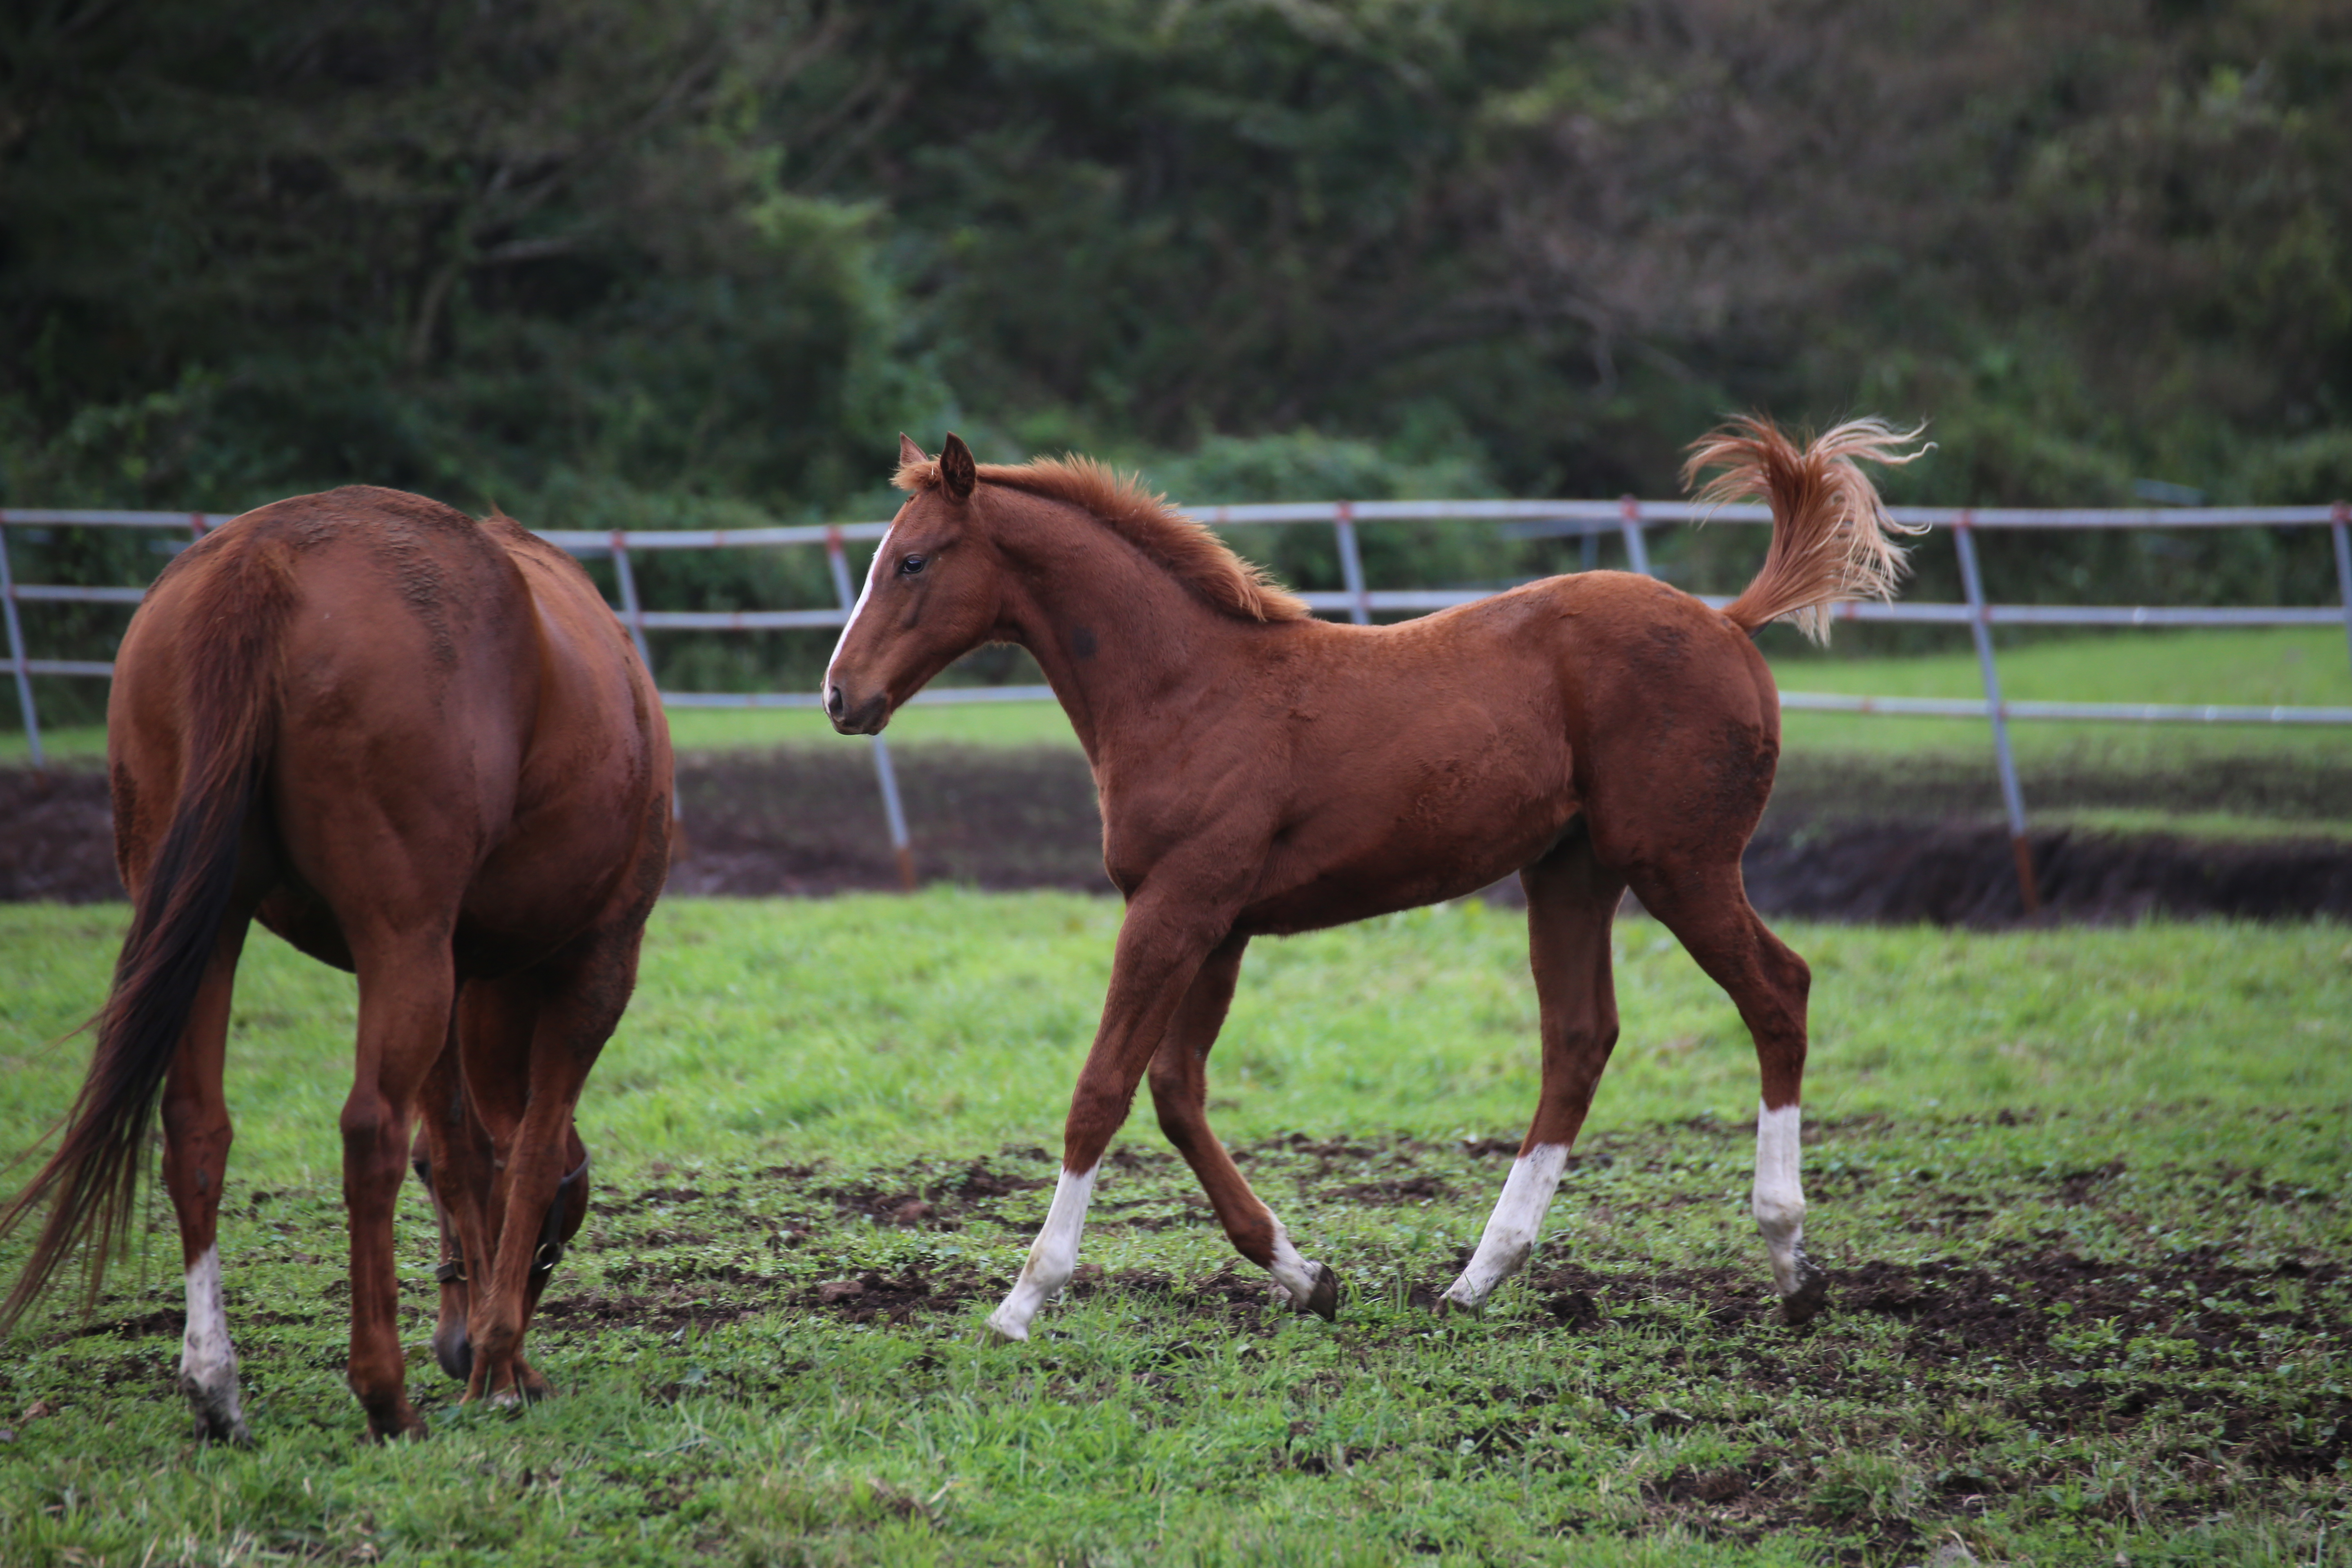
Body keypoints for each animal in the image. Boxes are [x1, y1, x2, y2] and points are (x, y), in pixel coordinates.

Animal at [0, 484, 668, 1439]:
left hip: (216, 921)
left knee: (197, 1126)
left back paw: (217, 1385)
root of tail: (263, 563)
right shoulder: (597, 963)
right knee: (370, 1131)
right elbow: (528, 1153)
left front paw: (491, 1358)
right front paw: (502, 1364)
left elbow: (460, 1150)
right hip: (402, 942)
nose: (458, 1348)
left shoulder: (456, 971)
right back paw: (386, 1394)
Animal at [837, 423, 1919, 1345]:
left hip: (1681, 864)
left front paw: (1023, 1299)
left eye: (913, 560)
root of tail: (1729, 622)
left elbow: (1101, 1090)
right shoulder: (1219, 926)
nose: (840, 696)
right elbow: (1176, 1093)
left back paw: (1788, 1258)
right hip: (1571, 874)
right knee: (1578, 1041)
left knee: (1776, 992)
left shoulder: (1176, 908)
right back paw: (1476, 1279)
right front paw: (1306, 1276)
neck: (1185, 686)